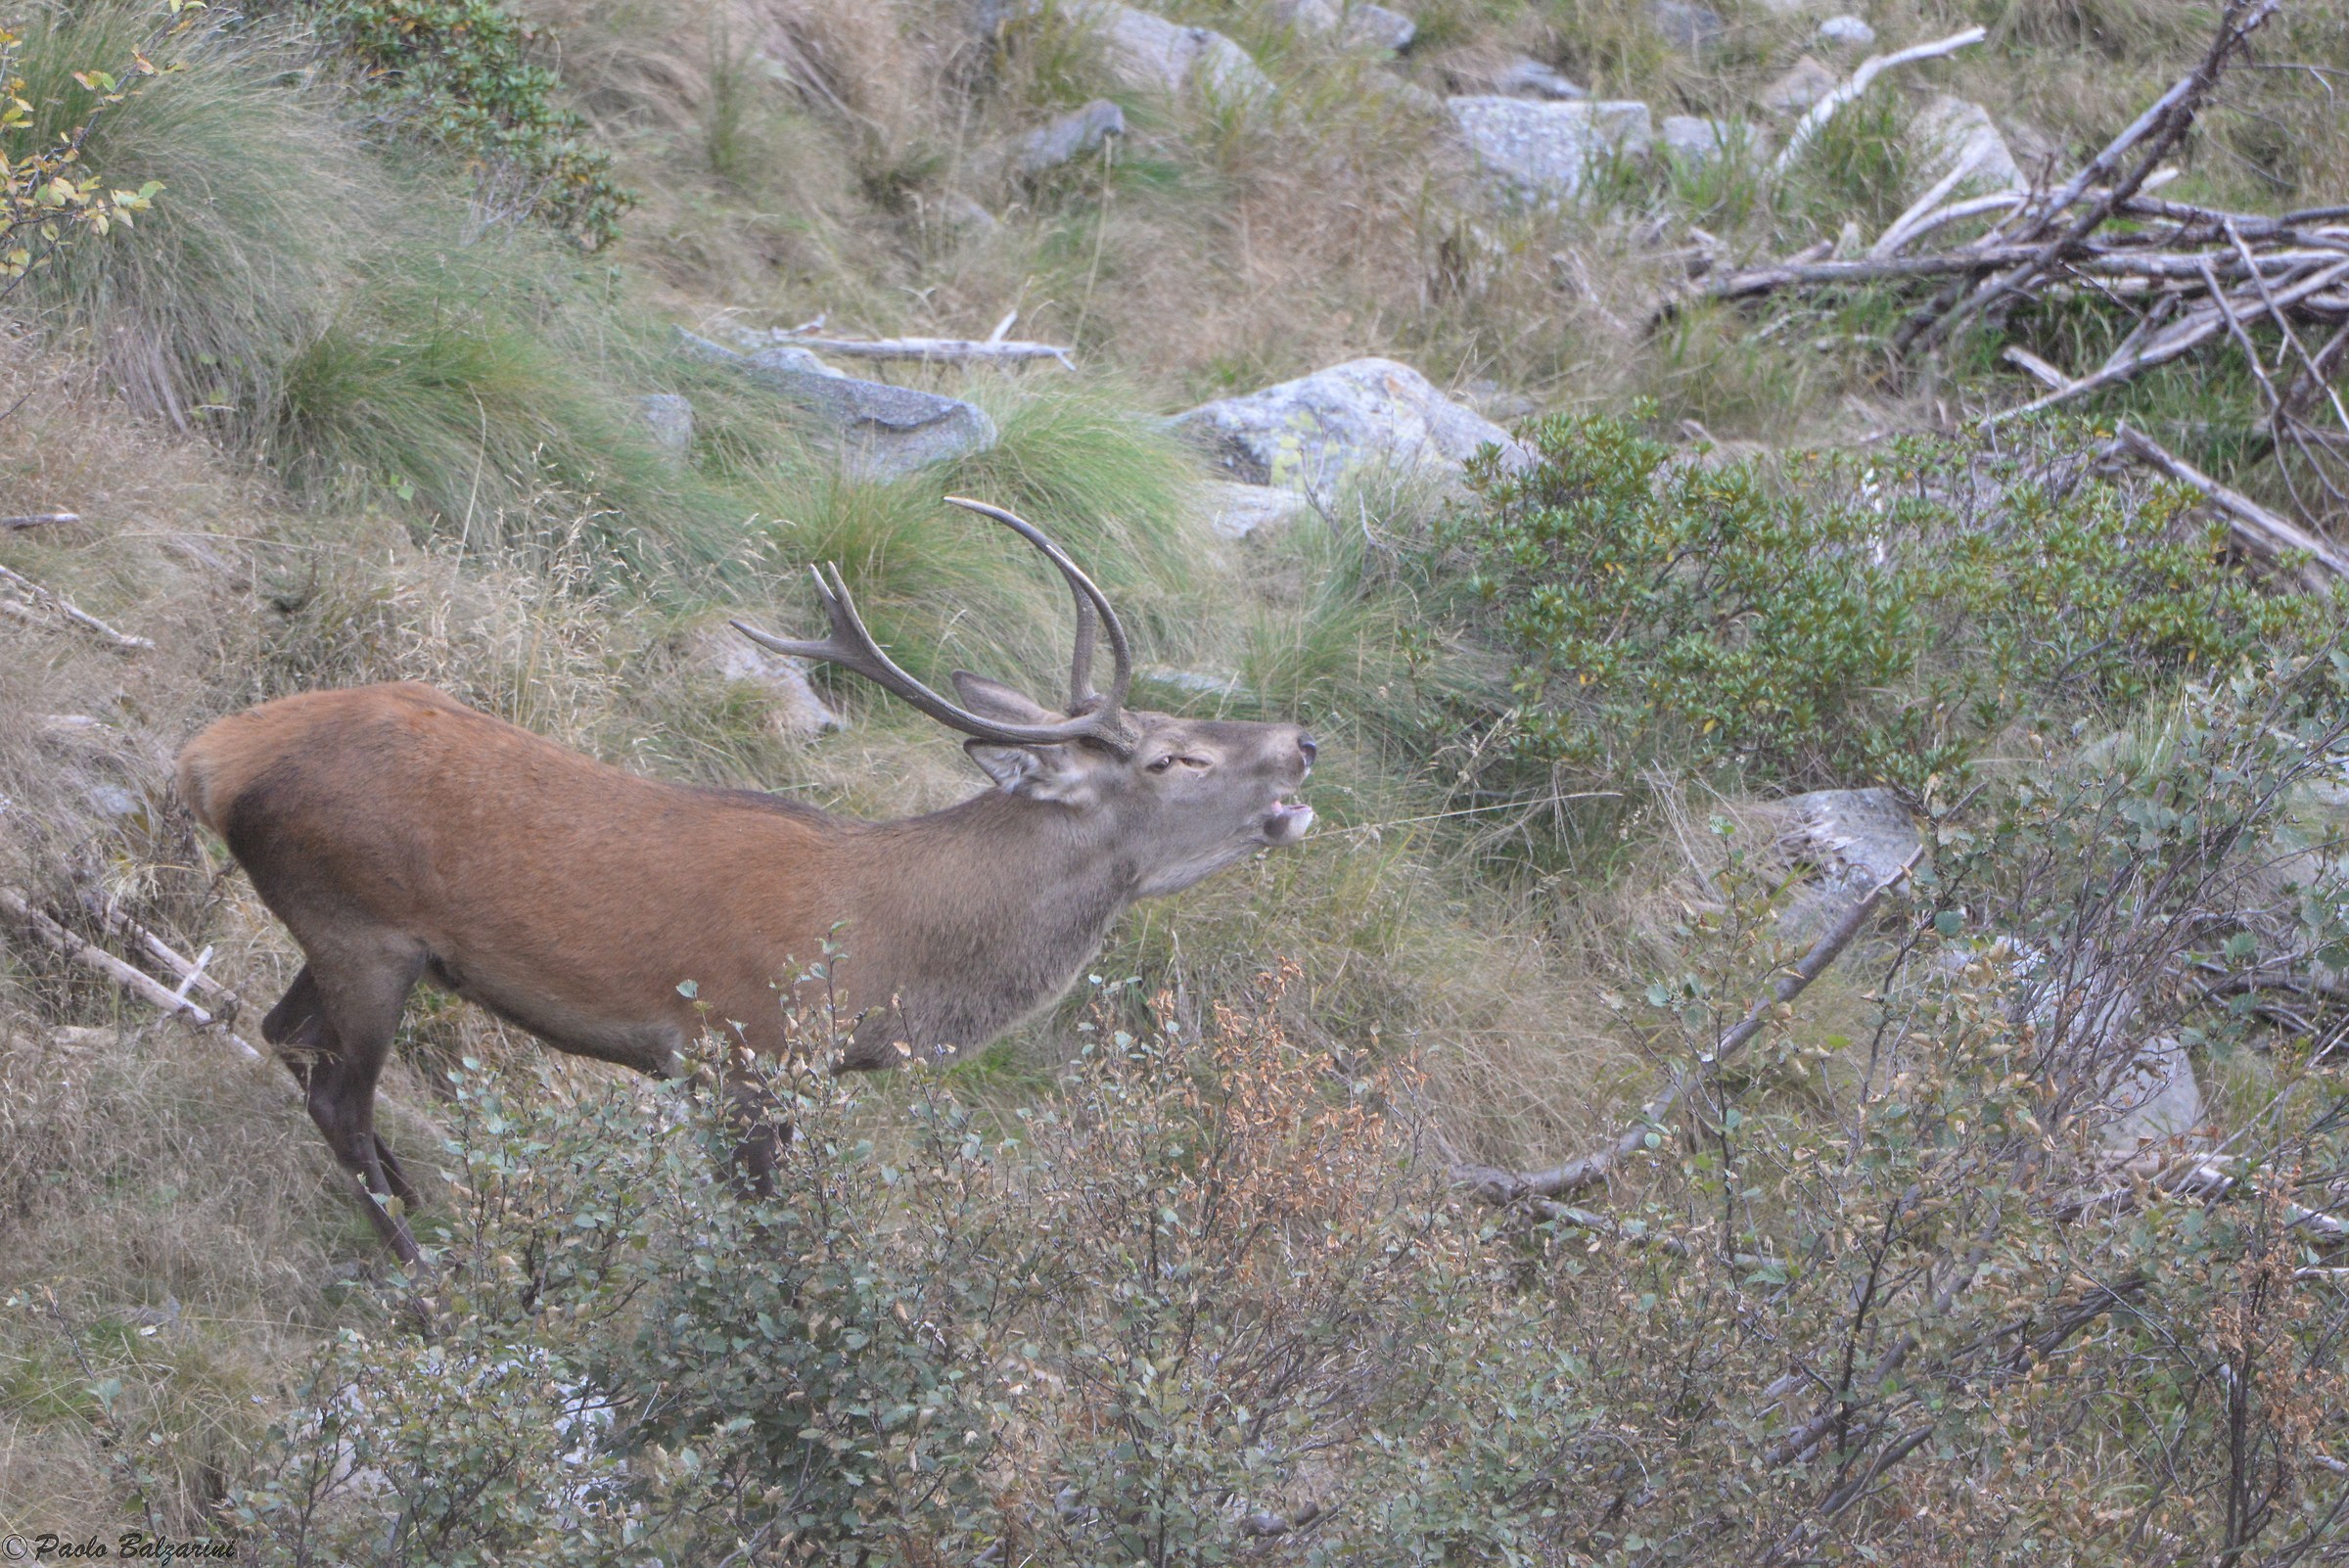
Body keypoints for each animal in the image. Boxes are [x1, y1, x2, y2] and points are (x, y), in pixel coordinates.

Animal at [178, 498, 1316, 1265]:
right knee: (337, 1091)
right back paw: (424, 1269)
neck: (886, 964)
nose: (1302, 741)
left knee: (284, 1037)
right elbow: (772, 1239)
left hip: (349, 935)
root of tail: (208, 758)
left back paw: (420, 1205)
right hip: (359, 923)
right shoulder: (740, 1057)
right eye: (1171, 757)